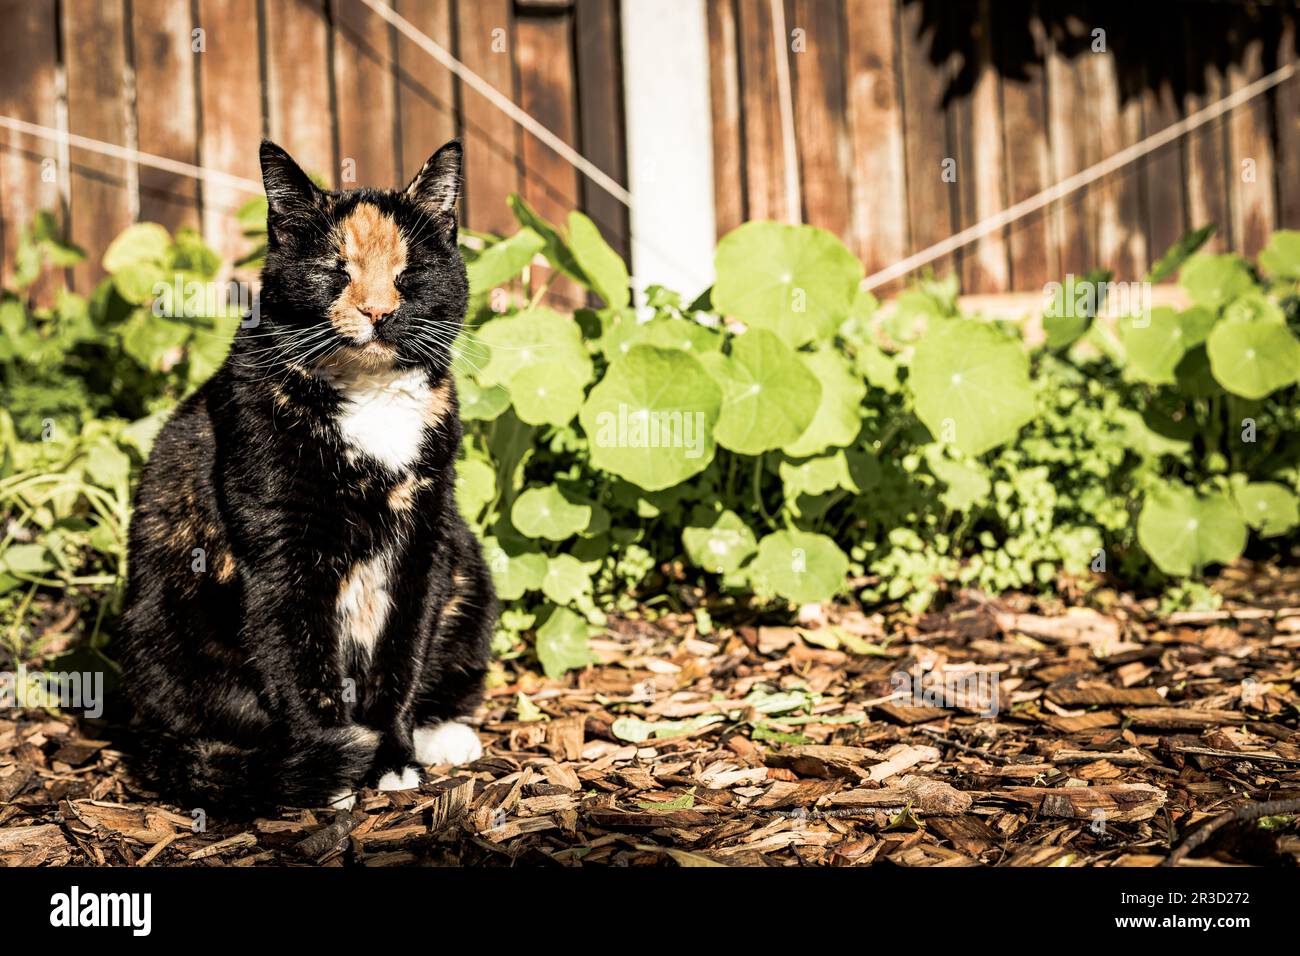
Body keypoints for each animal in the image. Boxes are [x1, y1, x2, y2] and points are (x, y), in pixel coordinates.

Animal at [119, 138, 493, 811]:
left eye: (409, 271)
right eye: (334, 270)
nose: (377, 310)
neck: (370, 399)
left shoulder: (426, 540)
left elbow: (402, 655)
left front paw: (393, 756)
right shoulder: (281, 549)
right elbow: (302, 667)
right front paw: (334, 767)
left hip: (469, 562)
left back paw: (443, 734)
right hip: (161, 630)